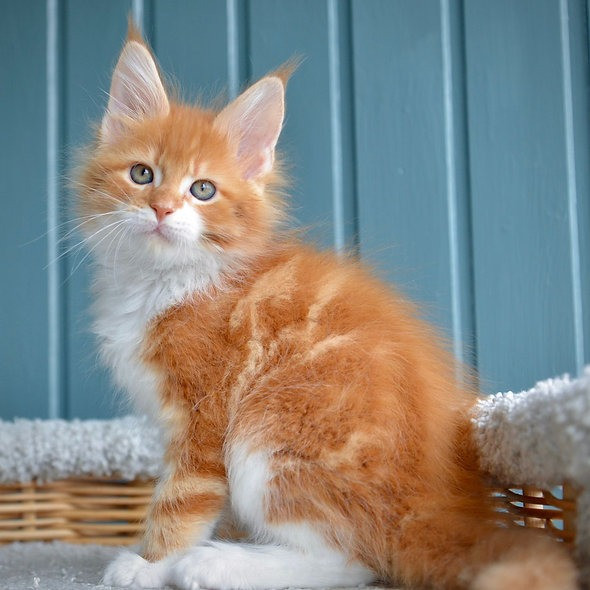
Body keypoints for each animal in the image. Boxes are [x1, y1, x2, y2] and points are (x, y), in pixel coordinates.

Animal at [80, 26, 584, 590]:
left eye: (202, 189)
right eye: (142, 174)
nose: (162, 208)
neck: (167, 280)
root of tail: (430, 503)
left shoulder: (206, 415)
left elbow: (182, 500)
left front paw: (149, 563)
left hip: (269, 431)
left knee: (351, 559)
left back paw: (214, 564)